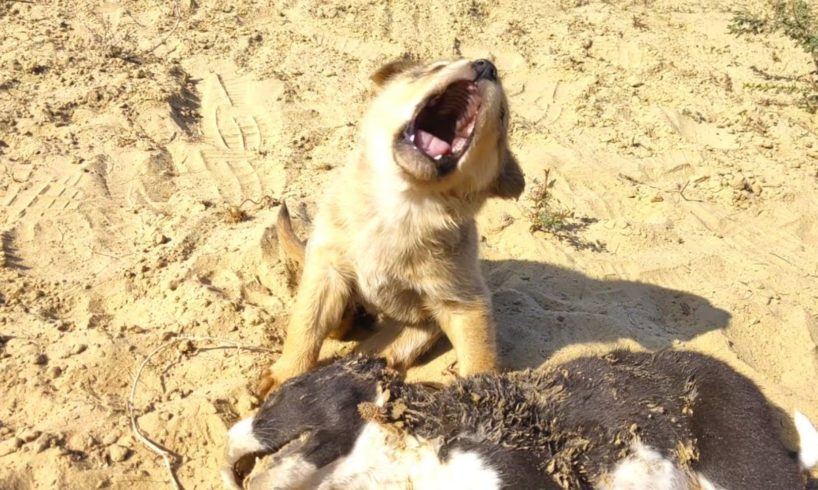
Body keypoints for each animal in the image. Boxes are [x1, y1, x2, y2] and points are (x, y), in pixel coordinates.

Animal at [258, 57, 524, 396]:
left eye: (501, 116)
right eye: (434, 67)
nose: (487, 65)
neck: (400, 206)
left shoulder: (464, 301)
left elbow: (479, 356)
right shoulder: (327, 269)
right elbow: (304, 327)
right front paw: (283, 376)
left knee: (389, 350)